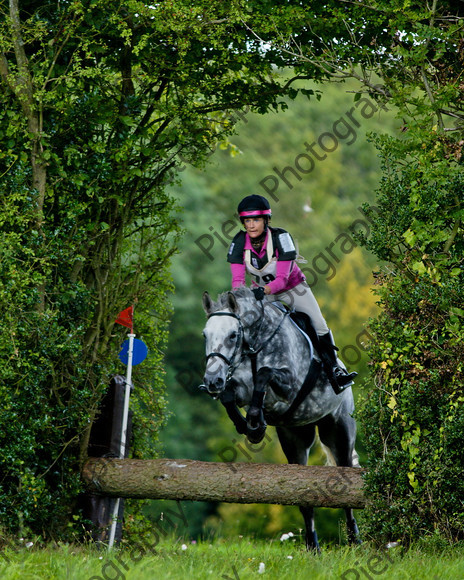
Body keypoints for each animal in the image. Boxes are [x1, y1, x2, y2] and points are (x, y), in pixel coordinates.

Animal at [201, 288, 360, 552]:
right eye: (205, 335)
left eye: (233, 335)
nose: (212, 380)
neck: (256, 344)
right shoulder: (240, 388)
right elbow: (229, 395)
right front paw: (250, 427)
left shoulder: (290, 387)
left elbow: (264, 374)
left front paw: (255, 419)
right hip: (295, 439)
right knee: (303, 495)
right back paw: (313, 547)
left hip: (339, 432)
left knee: (346, 479)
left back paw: (354, 540)